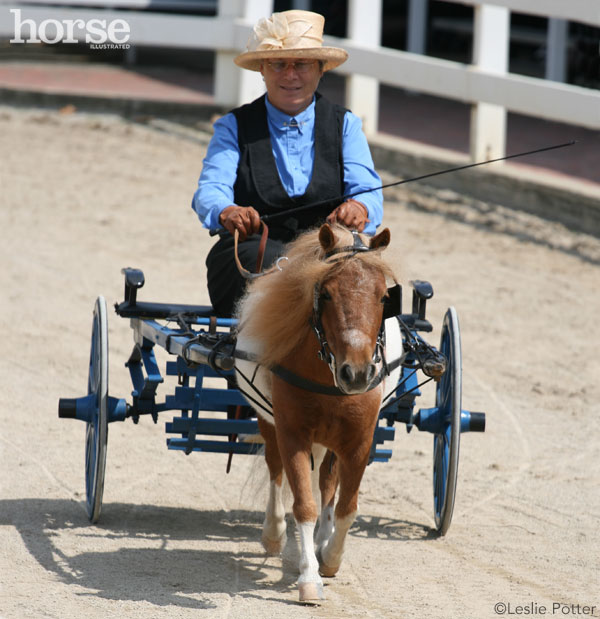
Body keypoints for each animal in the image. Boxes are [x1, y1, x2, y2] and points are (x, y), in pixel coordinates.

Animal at [237, 222, 400, 600]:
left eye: (384, 297)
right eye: (325, 294)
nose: (357, 373)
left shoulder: (358, 442)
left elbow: (346, 508)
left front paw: (330, 558)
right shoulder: (292, 434)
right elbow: (303, 504)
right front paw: (309, 577)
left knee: (327, 480)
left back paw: (321, 538)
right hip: (269, 423)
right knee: (275, 469)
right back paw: (275, 533)